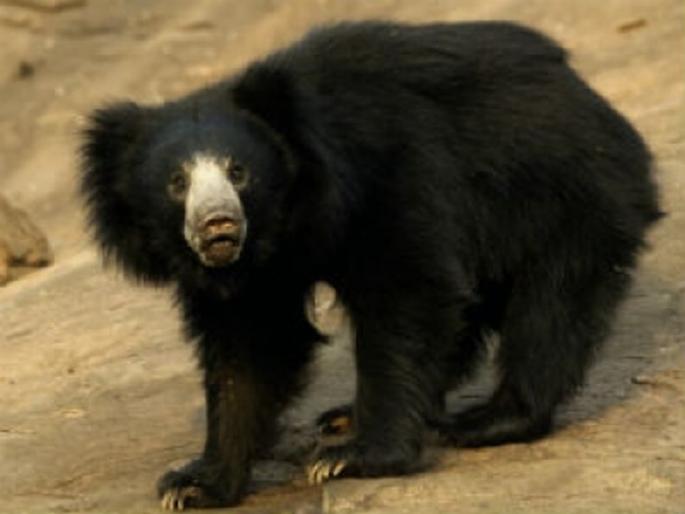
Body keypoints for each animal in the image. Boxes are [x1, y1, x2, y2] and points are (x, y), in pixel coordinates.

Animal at [80, 20, 661, 510]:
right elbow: (250, 348)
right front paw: (195, 483)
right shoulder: (252, 275)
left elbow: (405, 295)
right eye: (177, 182)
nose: (217, 226)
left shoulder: (388, 174)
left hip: (564, 191)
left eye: (238, 171)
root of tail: (587, 92)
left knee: (550, 307)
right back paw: (345, 416)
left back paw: (489, 419)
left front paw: (351, 461)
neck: (288, 218)